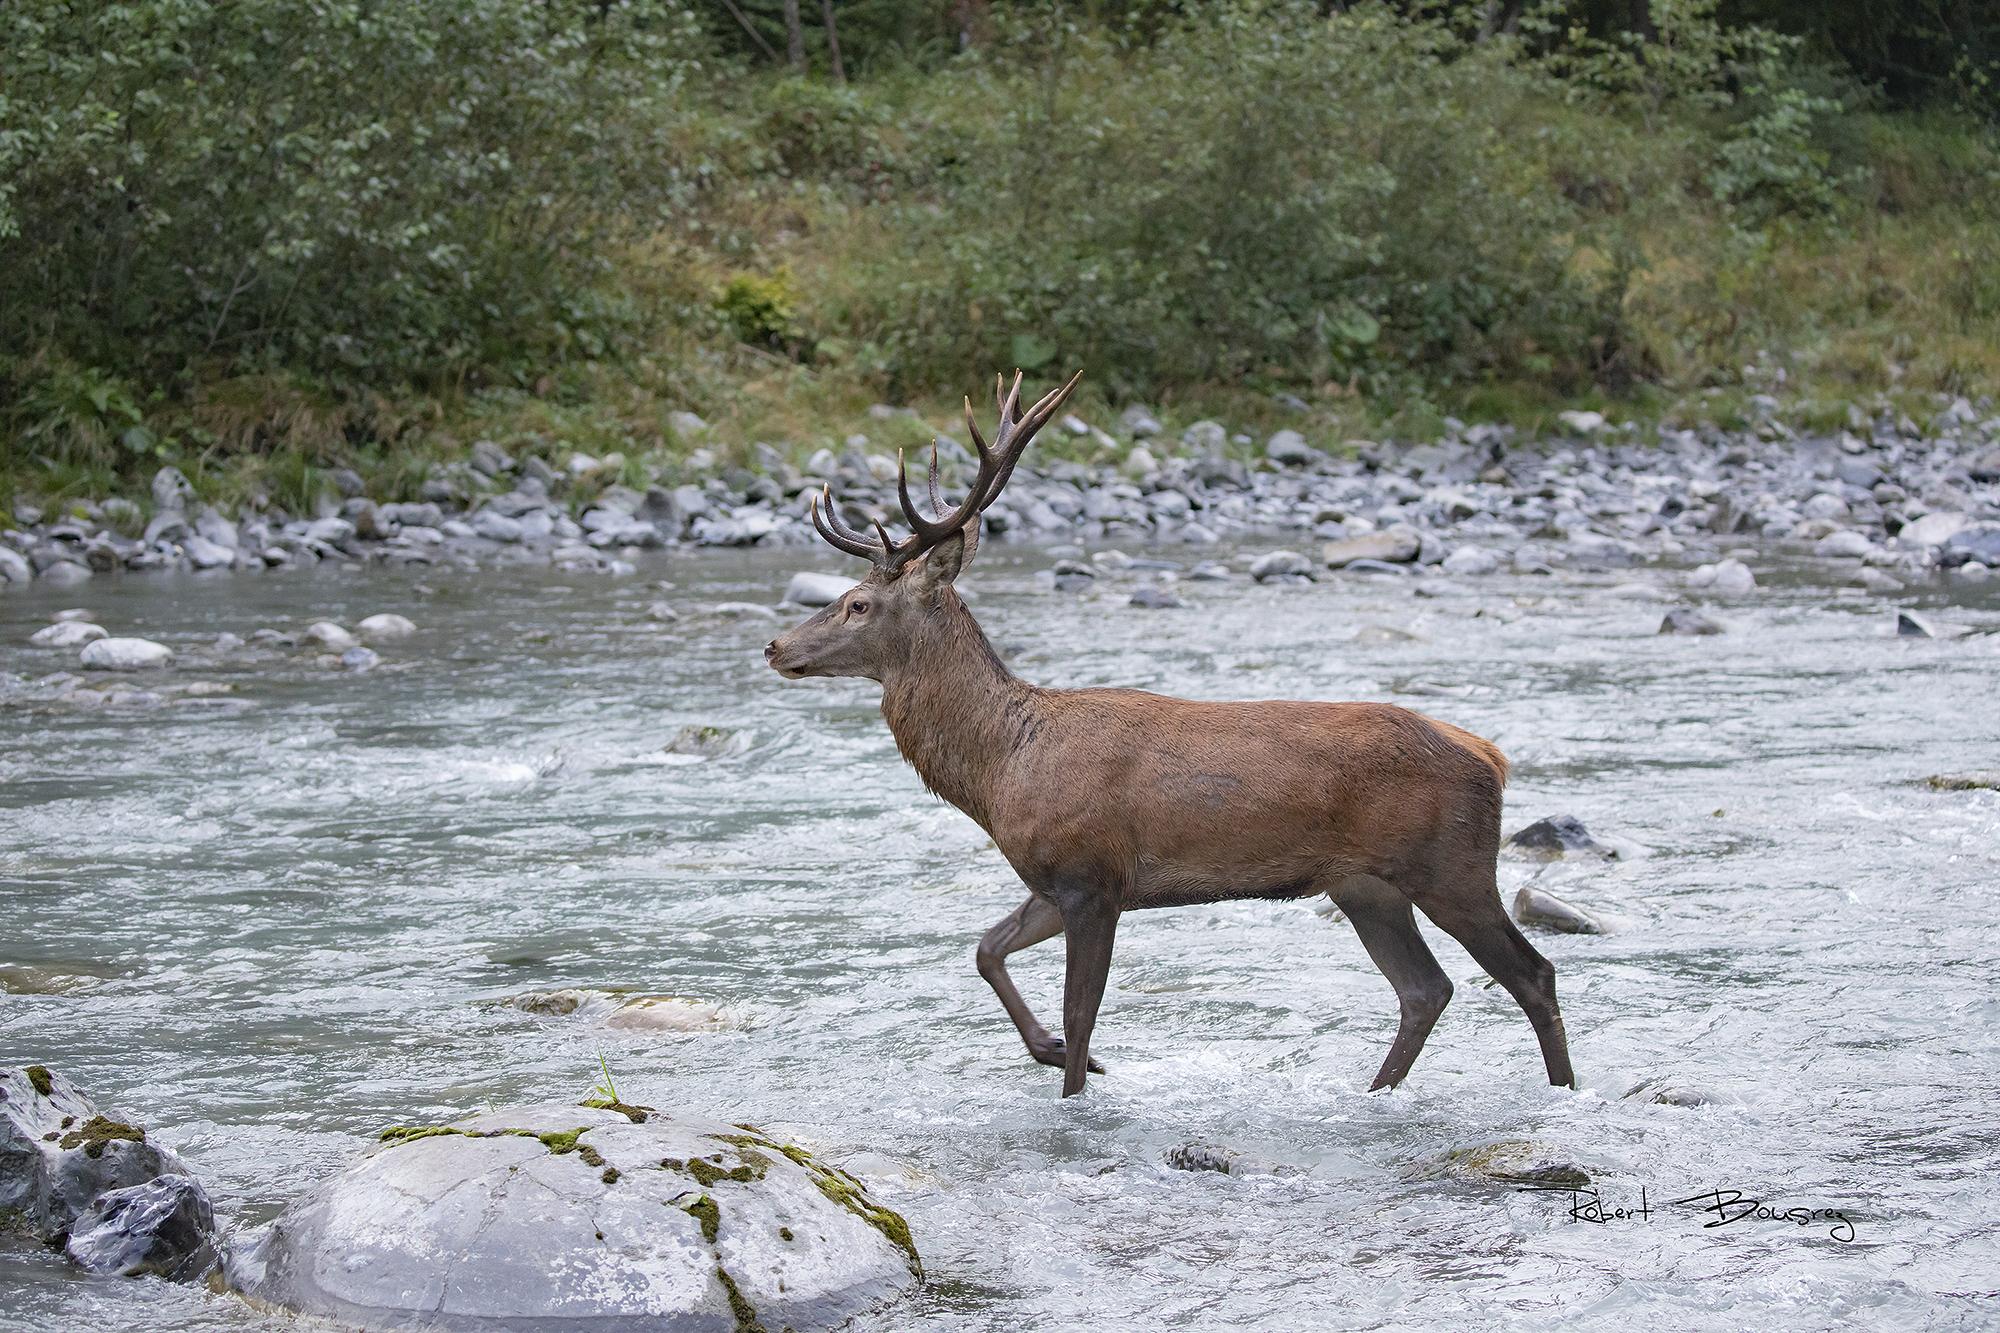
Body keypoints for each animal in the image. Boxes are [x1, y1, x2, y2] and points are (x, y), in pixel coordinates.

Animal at [764, 368, 1576, 1096]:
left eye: (858, 604)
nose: (775, 647)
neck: (1000, 769)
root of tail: (1492, 757)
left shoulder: (1093, 877)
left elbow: (1082, 1012)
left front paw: (1075, 1075)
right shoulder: (1055, 880)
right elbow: (986, 951)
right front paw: (1053, 1051)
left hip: (1451, 865)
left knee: (1531, 972)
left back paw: (1560, 1090)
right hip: (1365, 885)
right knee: (1425, 989)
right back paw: (1378, 1093)